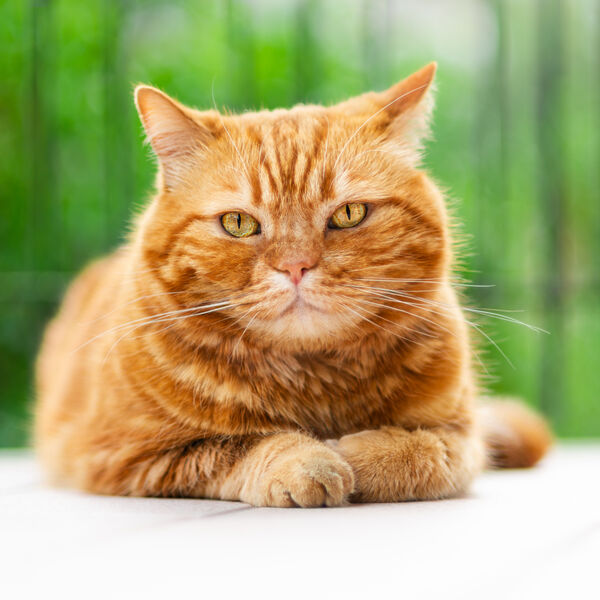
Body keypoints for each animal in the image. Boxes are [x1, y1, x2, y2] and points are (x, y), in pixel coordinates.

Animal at [32, 64, 552, 506]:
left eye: (349, 214)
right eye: (238, 223)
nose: (297, 266)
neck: (313, 380)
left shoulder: (461, 437)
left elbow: (420, 453)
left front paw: (353, 454)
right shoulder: (125, 455)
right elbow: (241, 446)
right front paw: (309, 459)